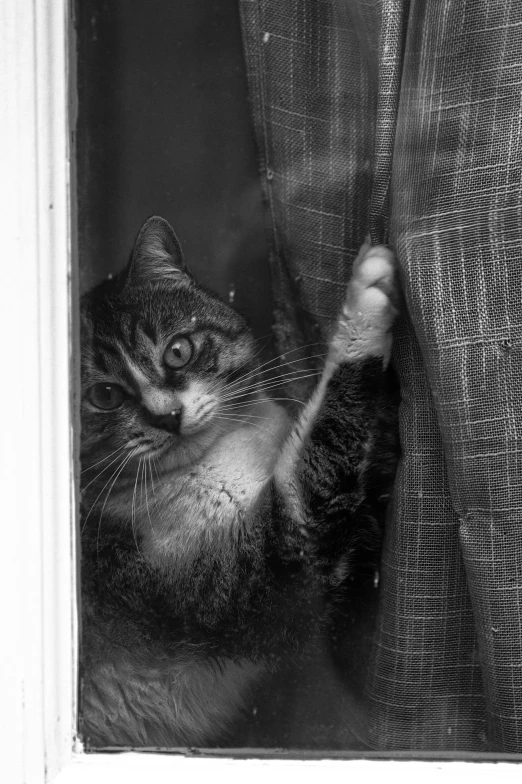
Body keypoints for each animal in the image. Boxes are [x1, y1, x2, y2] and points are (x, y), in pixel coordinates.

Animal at [79, 214, 398, 748]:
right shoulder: (258, 578)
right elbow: (323, 448)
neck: (224, 455)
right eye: (103, 396)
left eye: (179, 350)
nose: (166, 417)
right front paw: (366, 298)